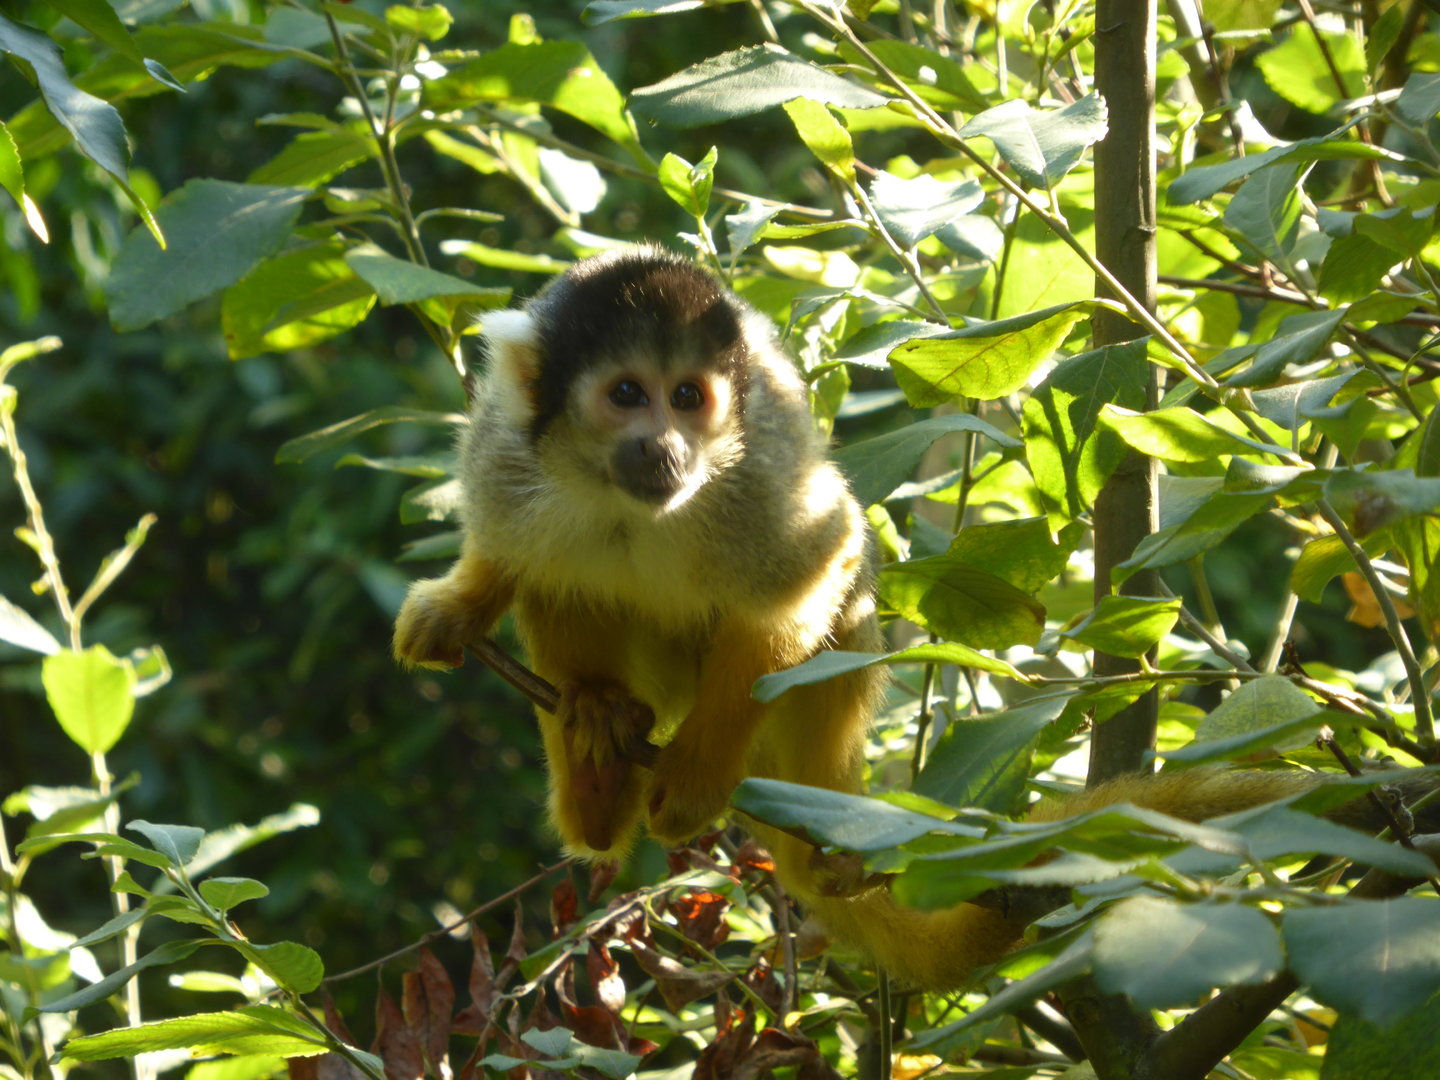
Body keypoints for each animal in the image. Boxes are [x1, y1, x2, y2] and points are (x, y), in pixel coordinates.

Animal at [393, 247, 1435, 991]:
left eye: (689, 397)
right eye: (626, 395)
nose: (668, 447)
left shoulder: (758, 484)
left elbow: (810, 573)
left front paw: (694, 774)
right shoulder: (507, 453)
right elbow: (511, 553)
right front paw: (457, 604)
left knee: (836, 610)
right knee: (563, 579)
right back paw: (597, 755)